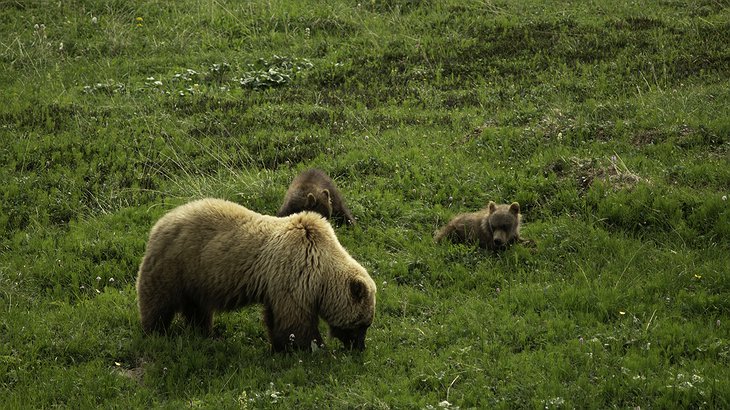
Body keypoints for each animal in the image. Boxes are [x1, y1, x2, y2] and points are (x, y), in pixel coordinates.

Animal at [134, 197, 378, 350]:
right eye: (362, 323)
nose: (359, 347)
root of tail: (161, 220)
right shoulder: (295, 274)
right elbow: (295, 322)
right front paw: (312, 347)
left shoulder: (278, 284)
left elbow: (276, 318)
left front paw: (280, 346)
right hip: (176, 265)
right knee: (158, 301)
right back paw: (155, 332)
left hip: (197, 278)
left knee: (197, 309)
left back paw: (204, 333)